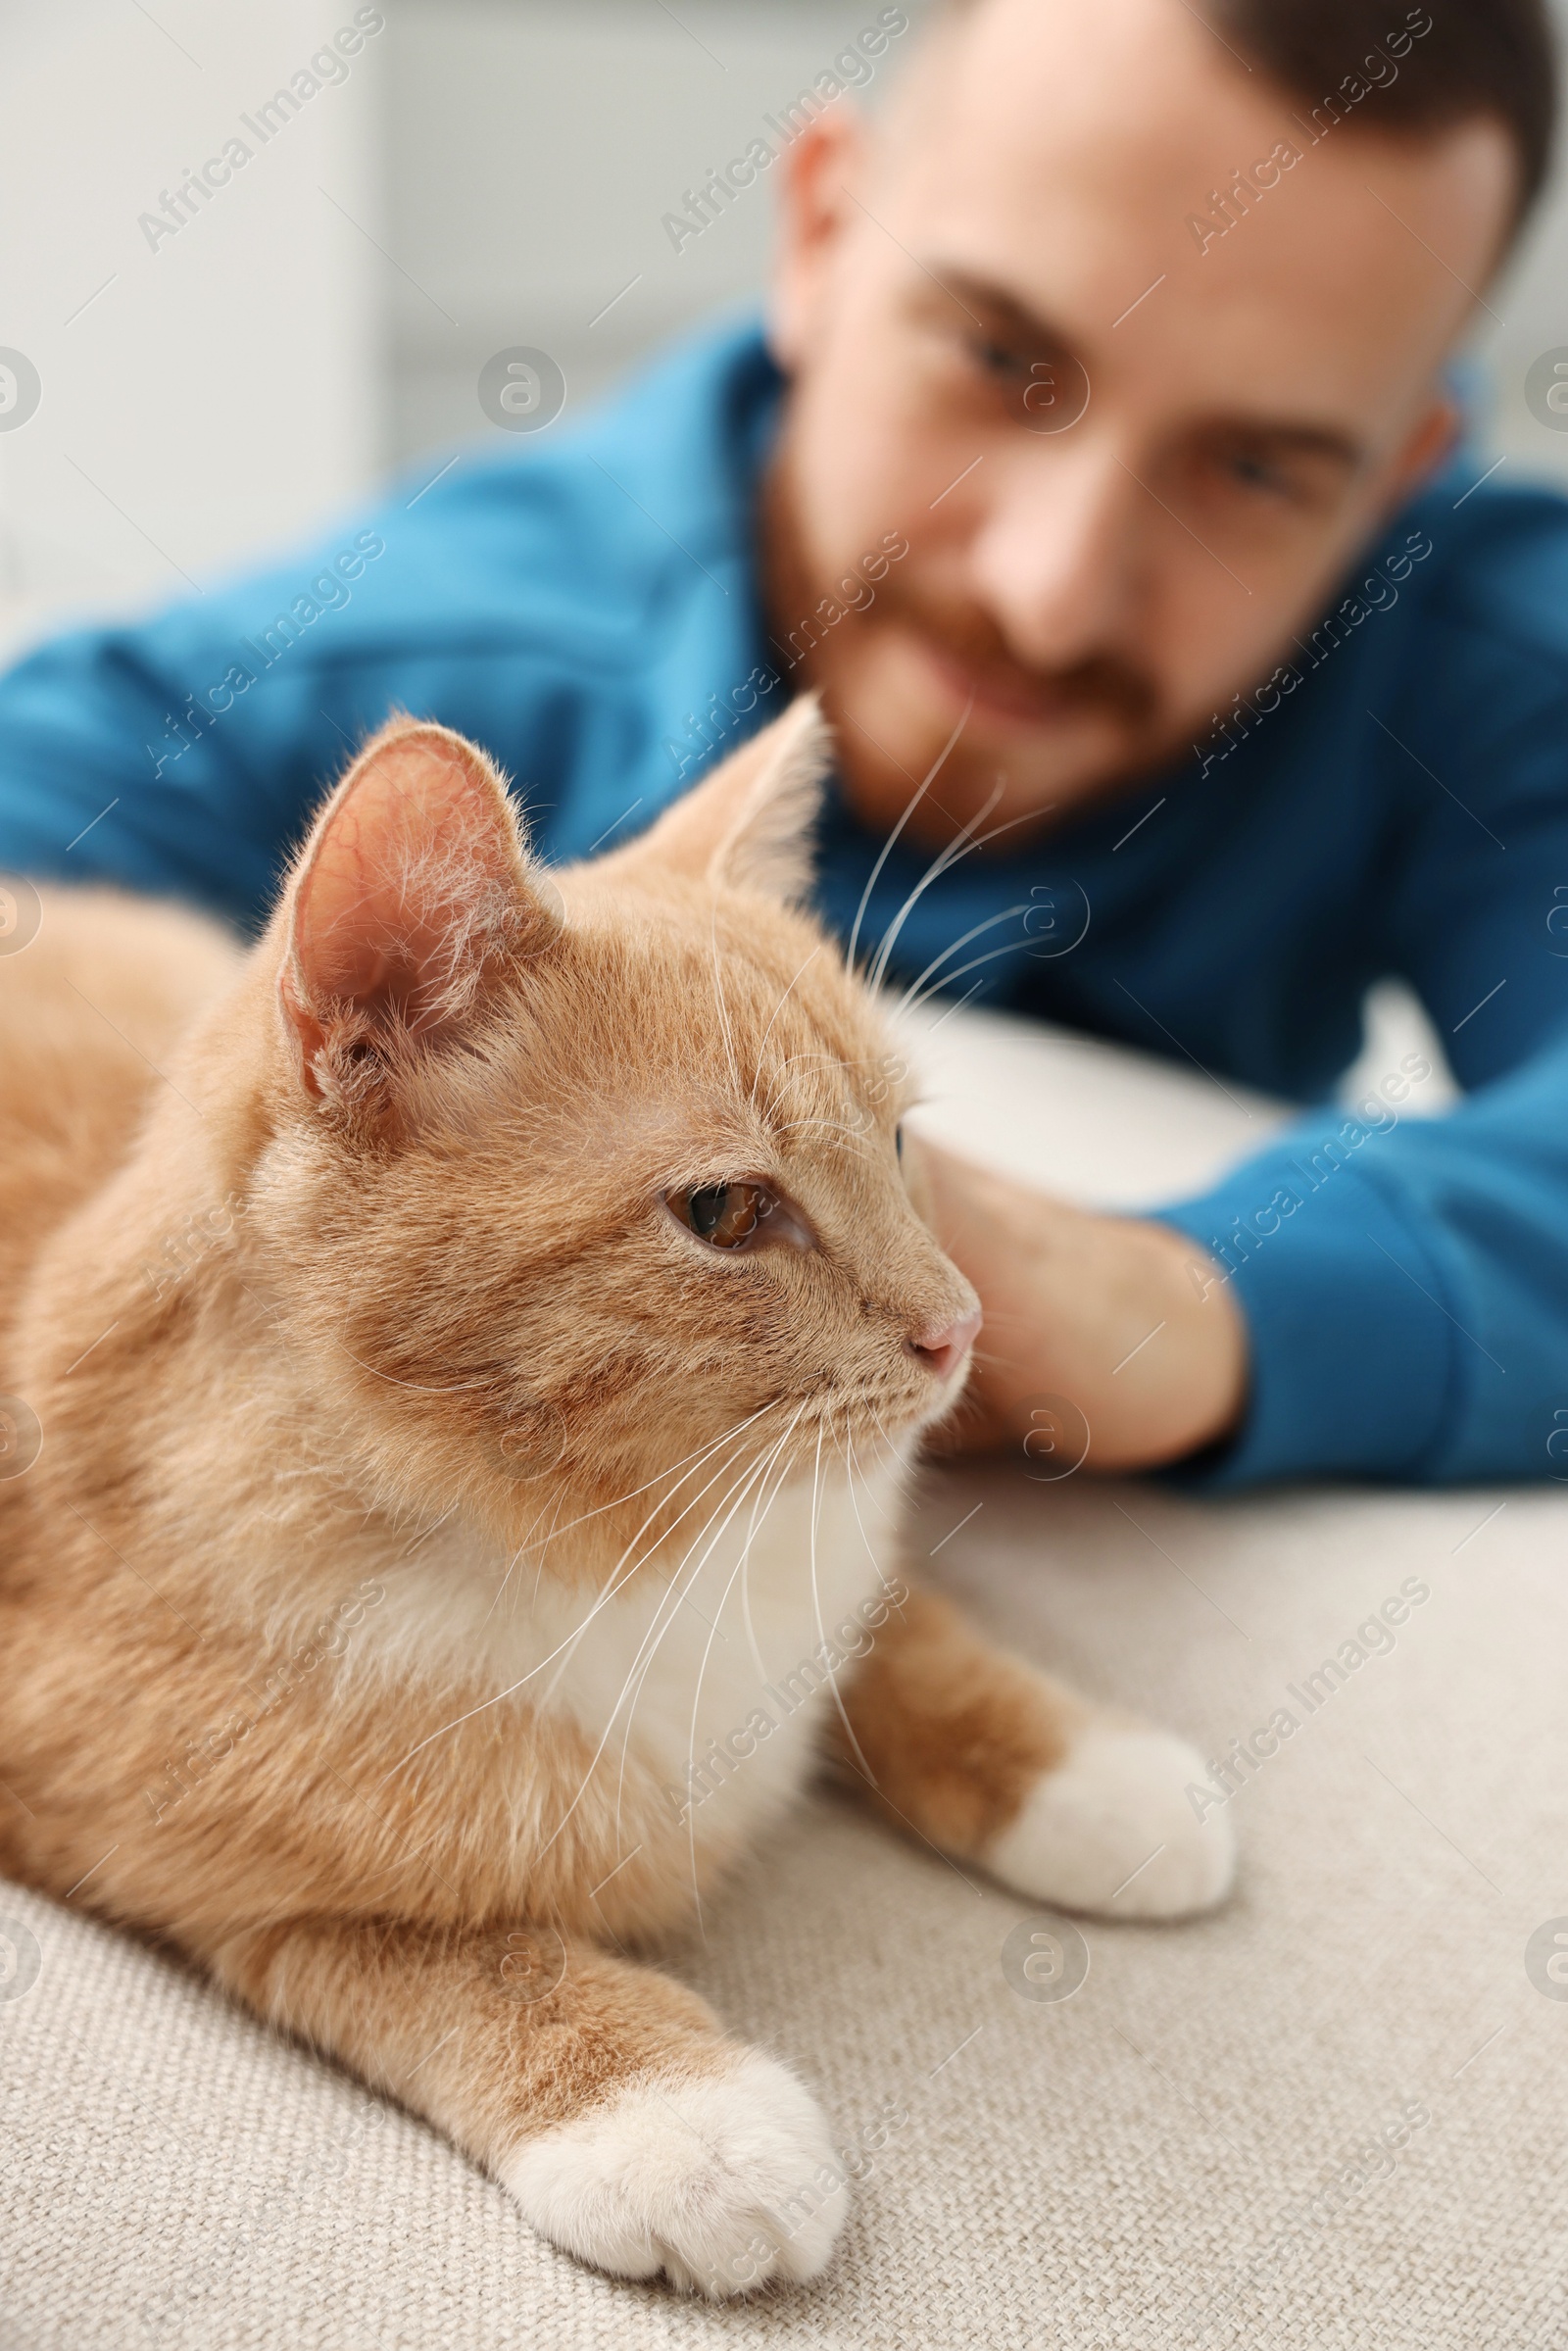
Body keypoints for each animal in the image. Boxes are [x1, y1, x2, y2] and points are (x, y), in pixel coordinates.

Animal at [0, 696, 1231, 2294]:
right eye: (727, 1212)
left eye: (902, 1147)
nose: (960, 1326)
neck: (625, 1563)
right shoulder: (132, 1822)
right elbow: (443, 1947)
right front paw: (667, 2112)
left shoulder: (824, 1548)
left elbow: (901, 1631)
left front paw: (1086, 1769)